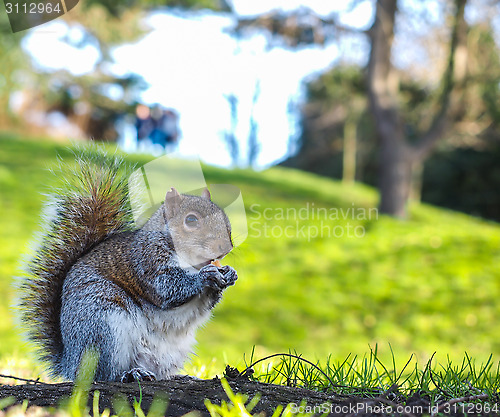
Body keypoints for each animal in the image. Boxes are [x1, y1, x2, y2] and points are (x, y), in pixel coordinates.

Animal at [18, 151, 237, 382]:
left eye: (223, 216)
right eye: (191, 220)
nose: (226, 247)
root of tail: (71, 363)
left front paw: (229, 274)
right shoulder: (146, 262)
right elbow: (167, 288)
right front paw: (206, 276)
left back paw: (179, 377)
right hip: (102, 327)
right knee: (104, 374)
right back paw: (131, 374)